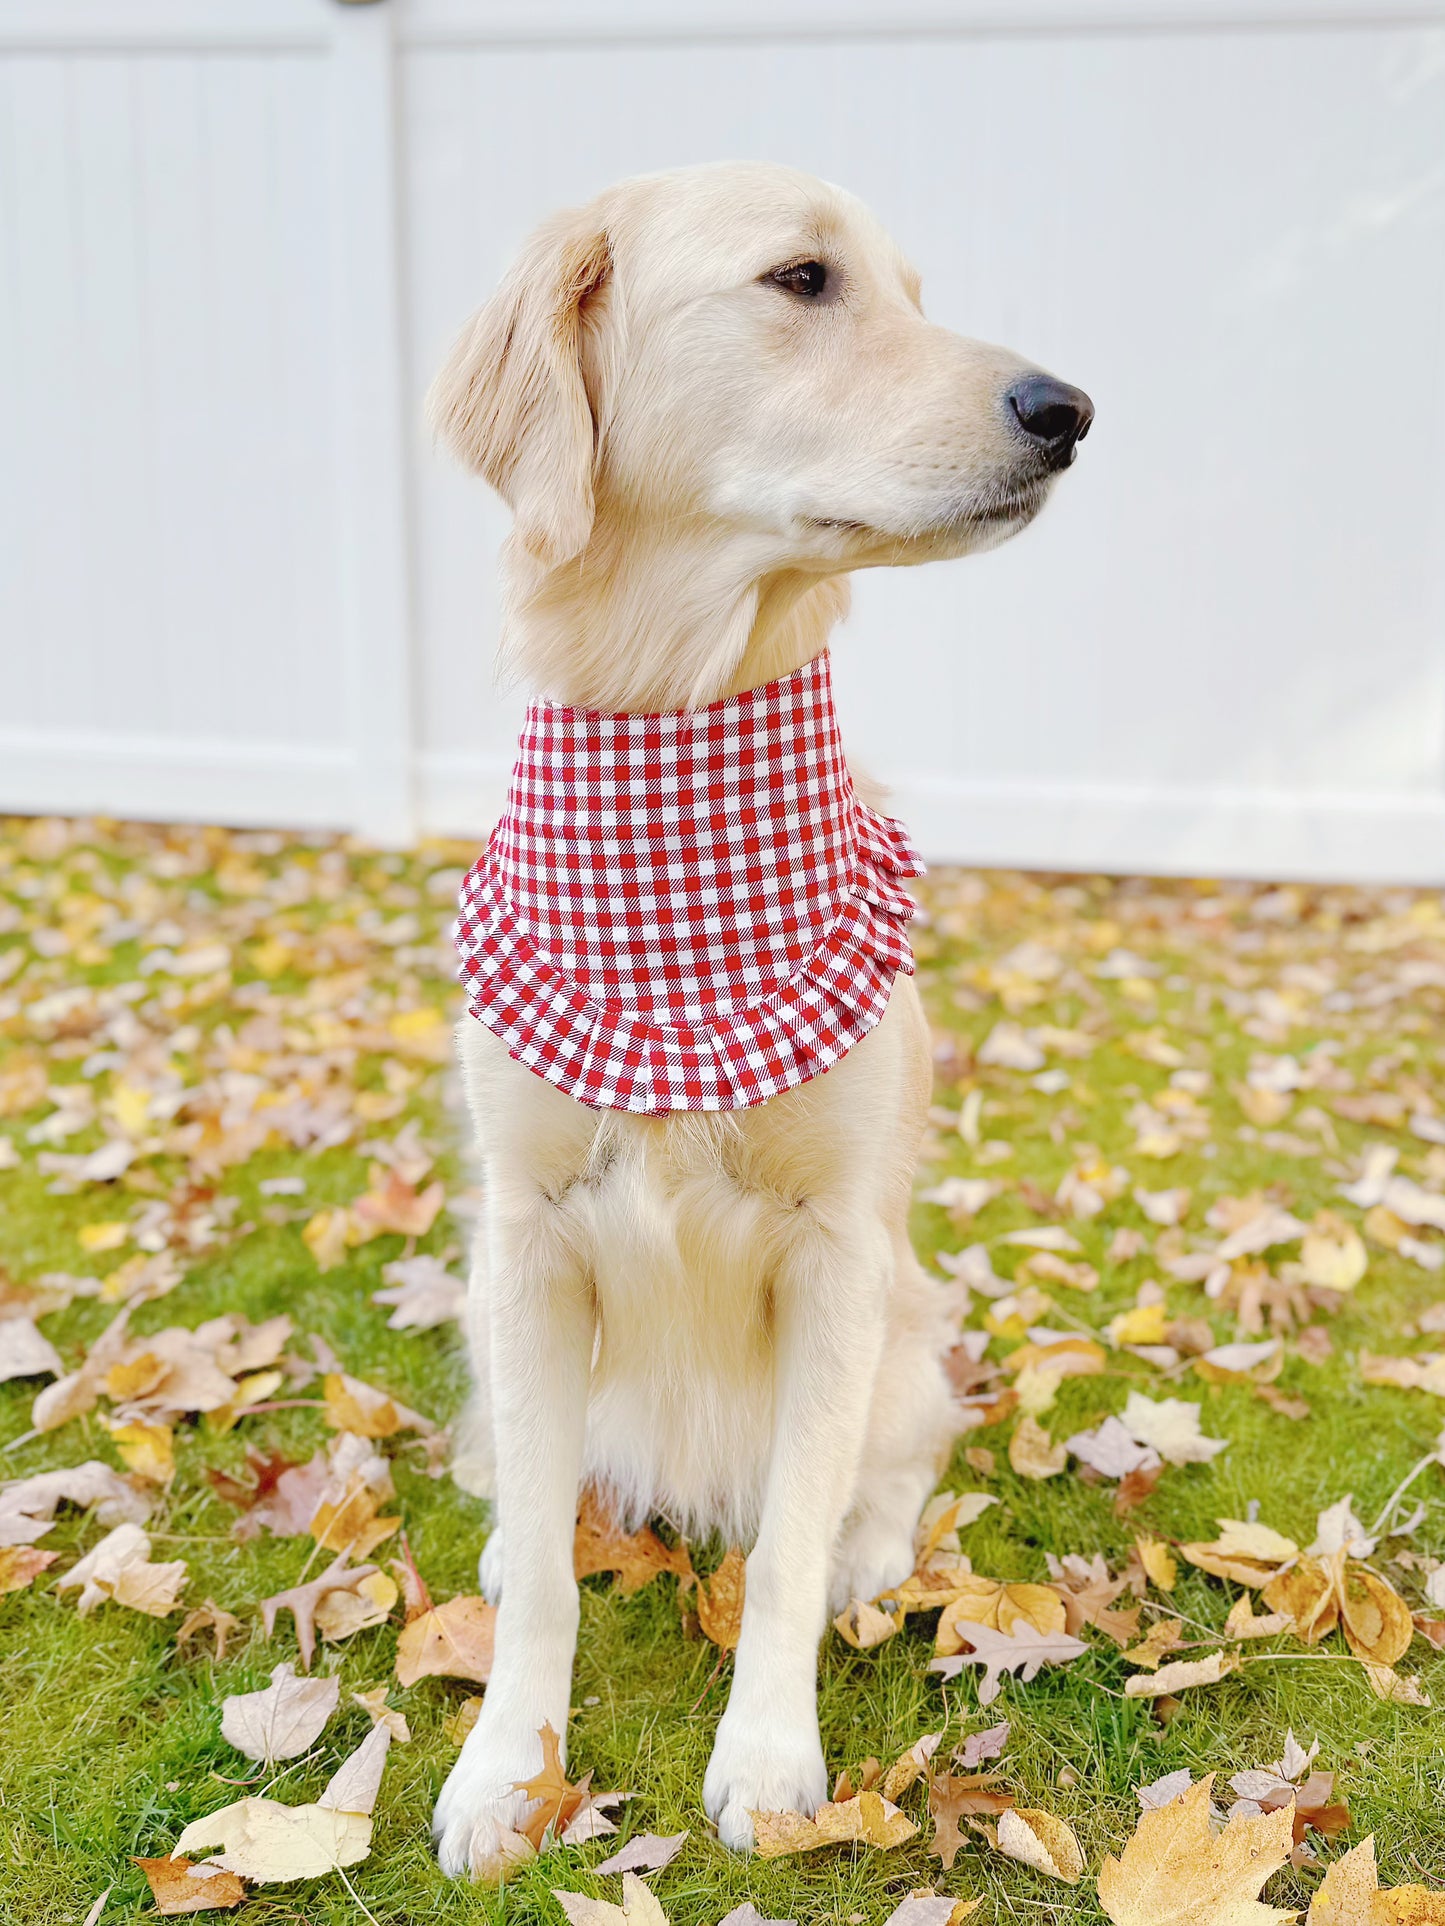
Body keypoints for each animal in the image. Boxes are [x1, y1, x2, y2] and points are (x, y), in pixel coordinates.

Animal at [423, 157, 1094, 1872]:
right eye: (802, 279)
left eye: (915, 294)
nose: (1069, 406)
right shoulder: (526, 1236)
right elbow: (546, 1572)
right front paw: (504, 1764)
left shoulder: (839, 1252)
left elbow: (786, 1548)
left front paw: (775, 1758)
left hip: (912, 1326)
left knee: (886, 1471)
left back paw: (871, 1550)